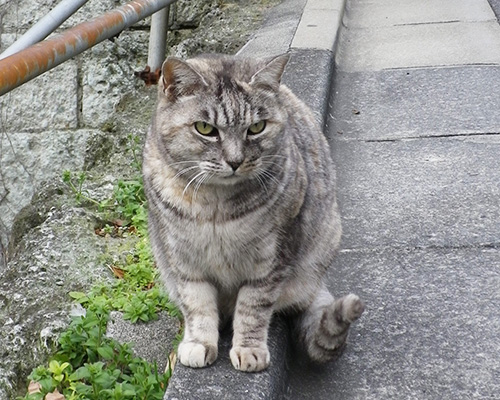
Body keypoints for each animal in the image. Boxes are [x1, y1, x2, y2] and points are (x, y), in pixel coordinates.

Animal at [143, 53, 366, 372]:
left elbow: (253, 308)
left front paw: (249, 350)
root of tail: (316, 285)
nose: (235, 161)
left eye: (257, 127)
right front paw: (199, 343)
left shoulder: (270, 261)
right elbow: (197, 305)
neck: (214, 207)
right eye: (206, 129)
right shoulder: (184, 260)